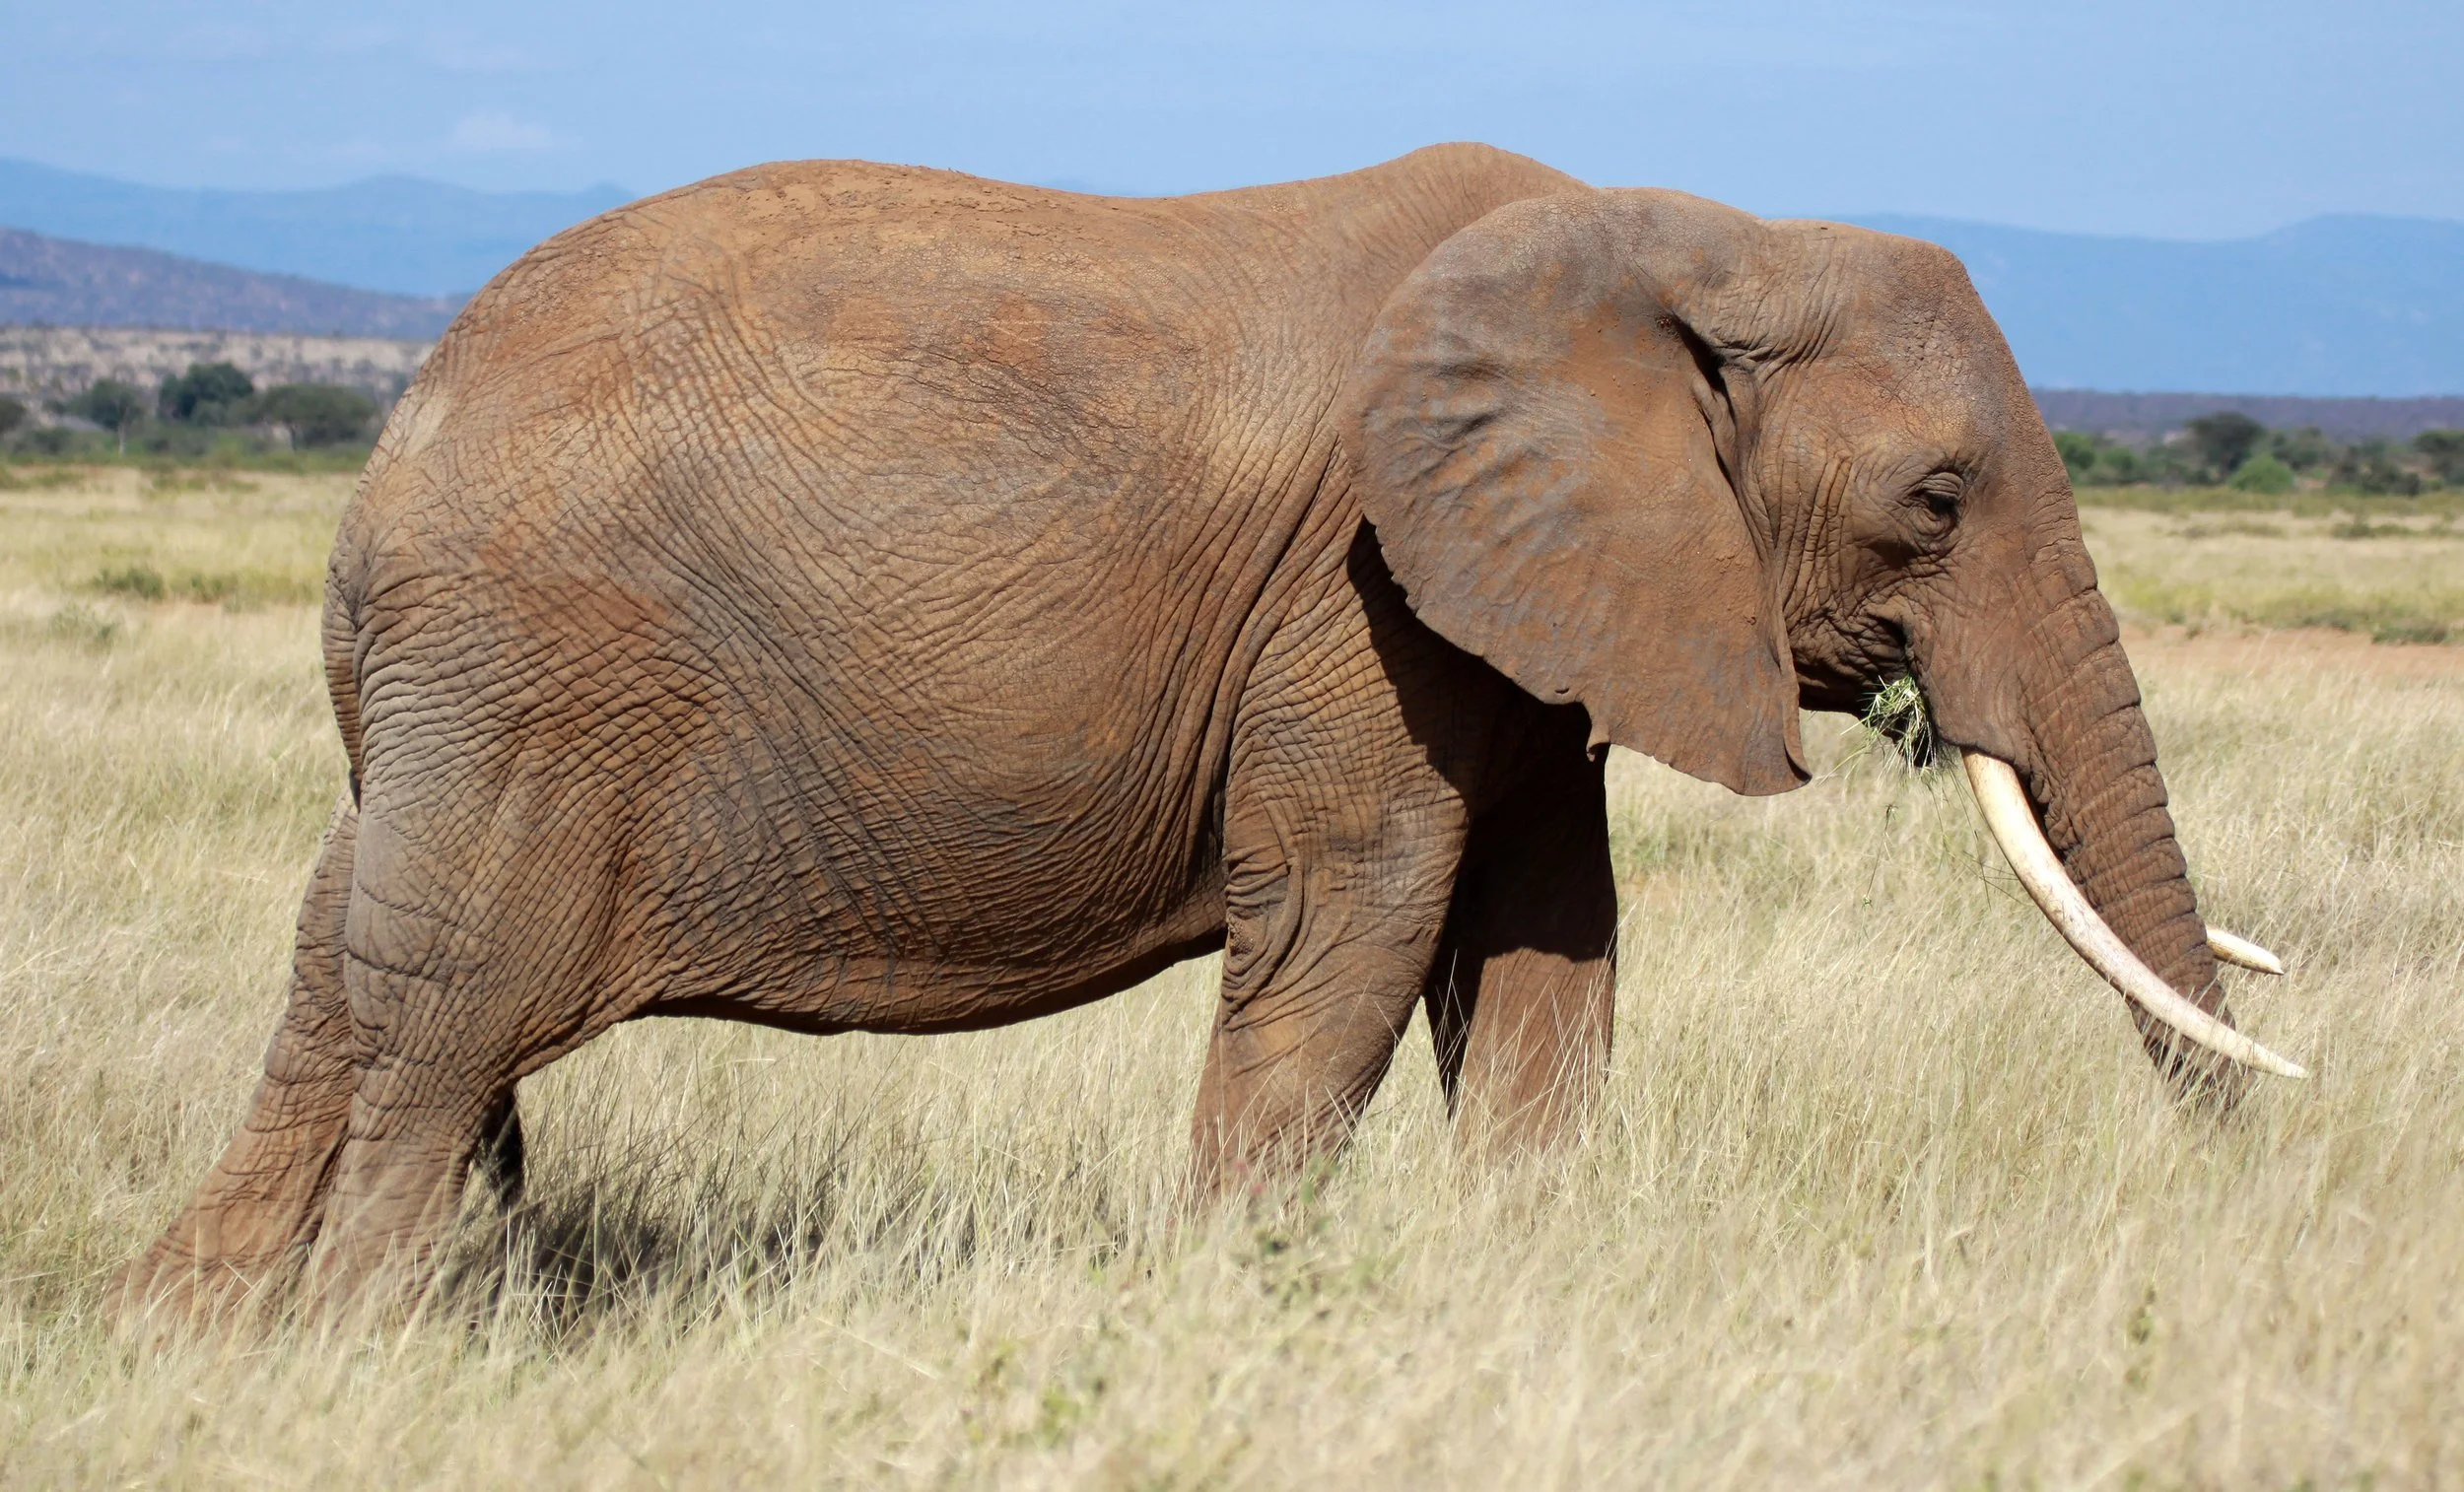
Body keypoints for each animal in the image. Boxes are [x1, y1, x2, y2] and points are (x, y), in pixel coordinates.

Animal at [123, 143, 2300, 1318]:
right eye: (1936, 501)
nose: (2240, 1201)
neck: (1690, 233)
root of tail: (390, 432)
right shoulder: (1360, 597)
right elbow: (1349, 928)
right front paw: (1235, 1303)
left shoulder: (1518, 621)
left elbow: (1545, 953)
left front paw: (1519, 1292)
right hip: (529, 687)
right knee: (444, 1029)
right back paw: (374, 1352)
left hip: (454, 702)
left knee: (338, 988)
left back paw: (200, 1341)